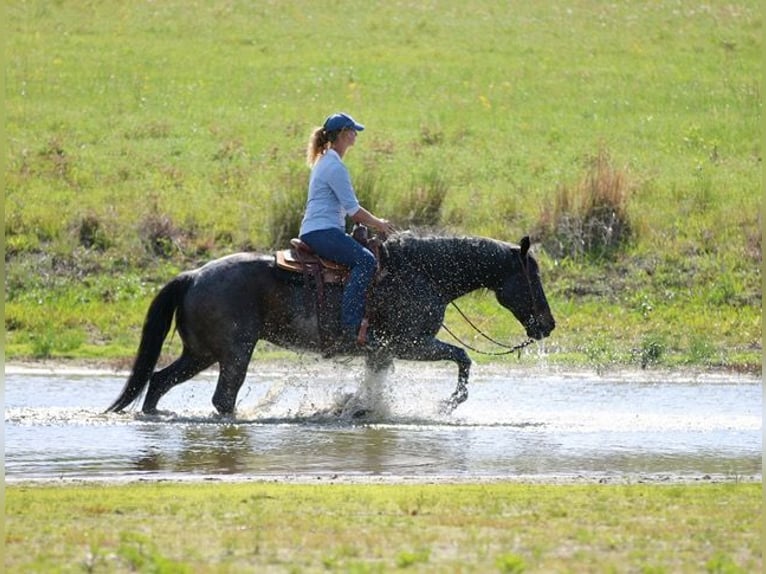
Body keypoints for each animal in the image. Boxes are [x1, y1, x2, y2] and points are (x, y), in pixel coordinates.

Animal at [106, 233, 555, 416]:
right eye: (532, 277)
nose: (548, 325)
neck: (422, 274)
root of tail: (194, 275)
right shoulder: (409, 343)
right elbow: (463, 357)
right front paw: (450, 402)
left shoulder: (382, 352)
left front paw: (361, 409)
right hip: (234, 352)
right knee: (222, 399)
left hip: (201, 352)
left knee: (158, 381)